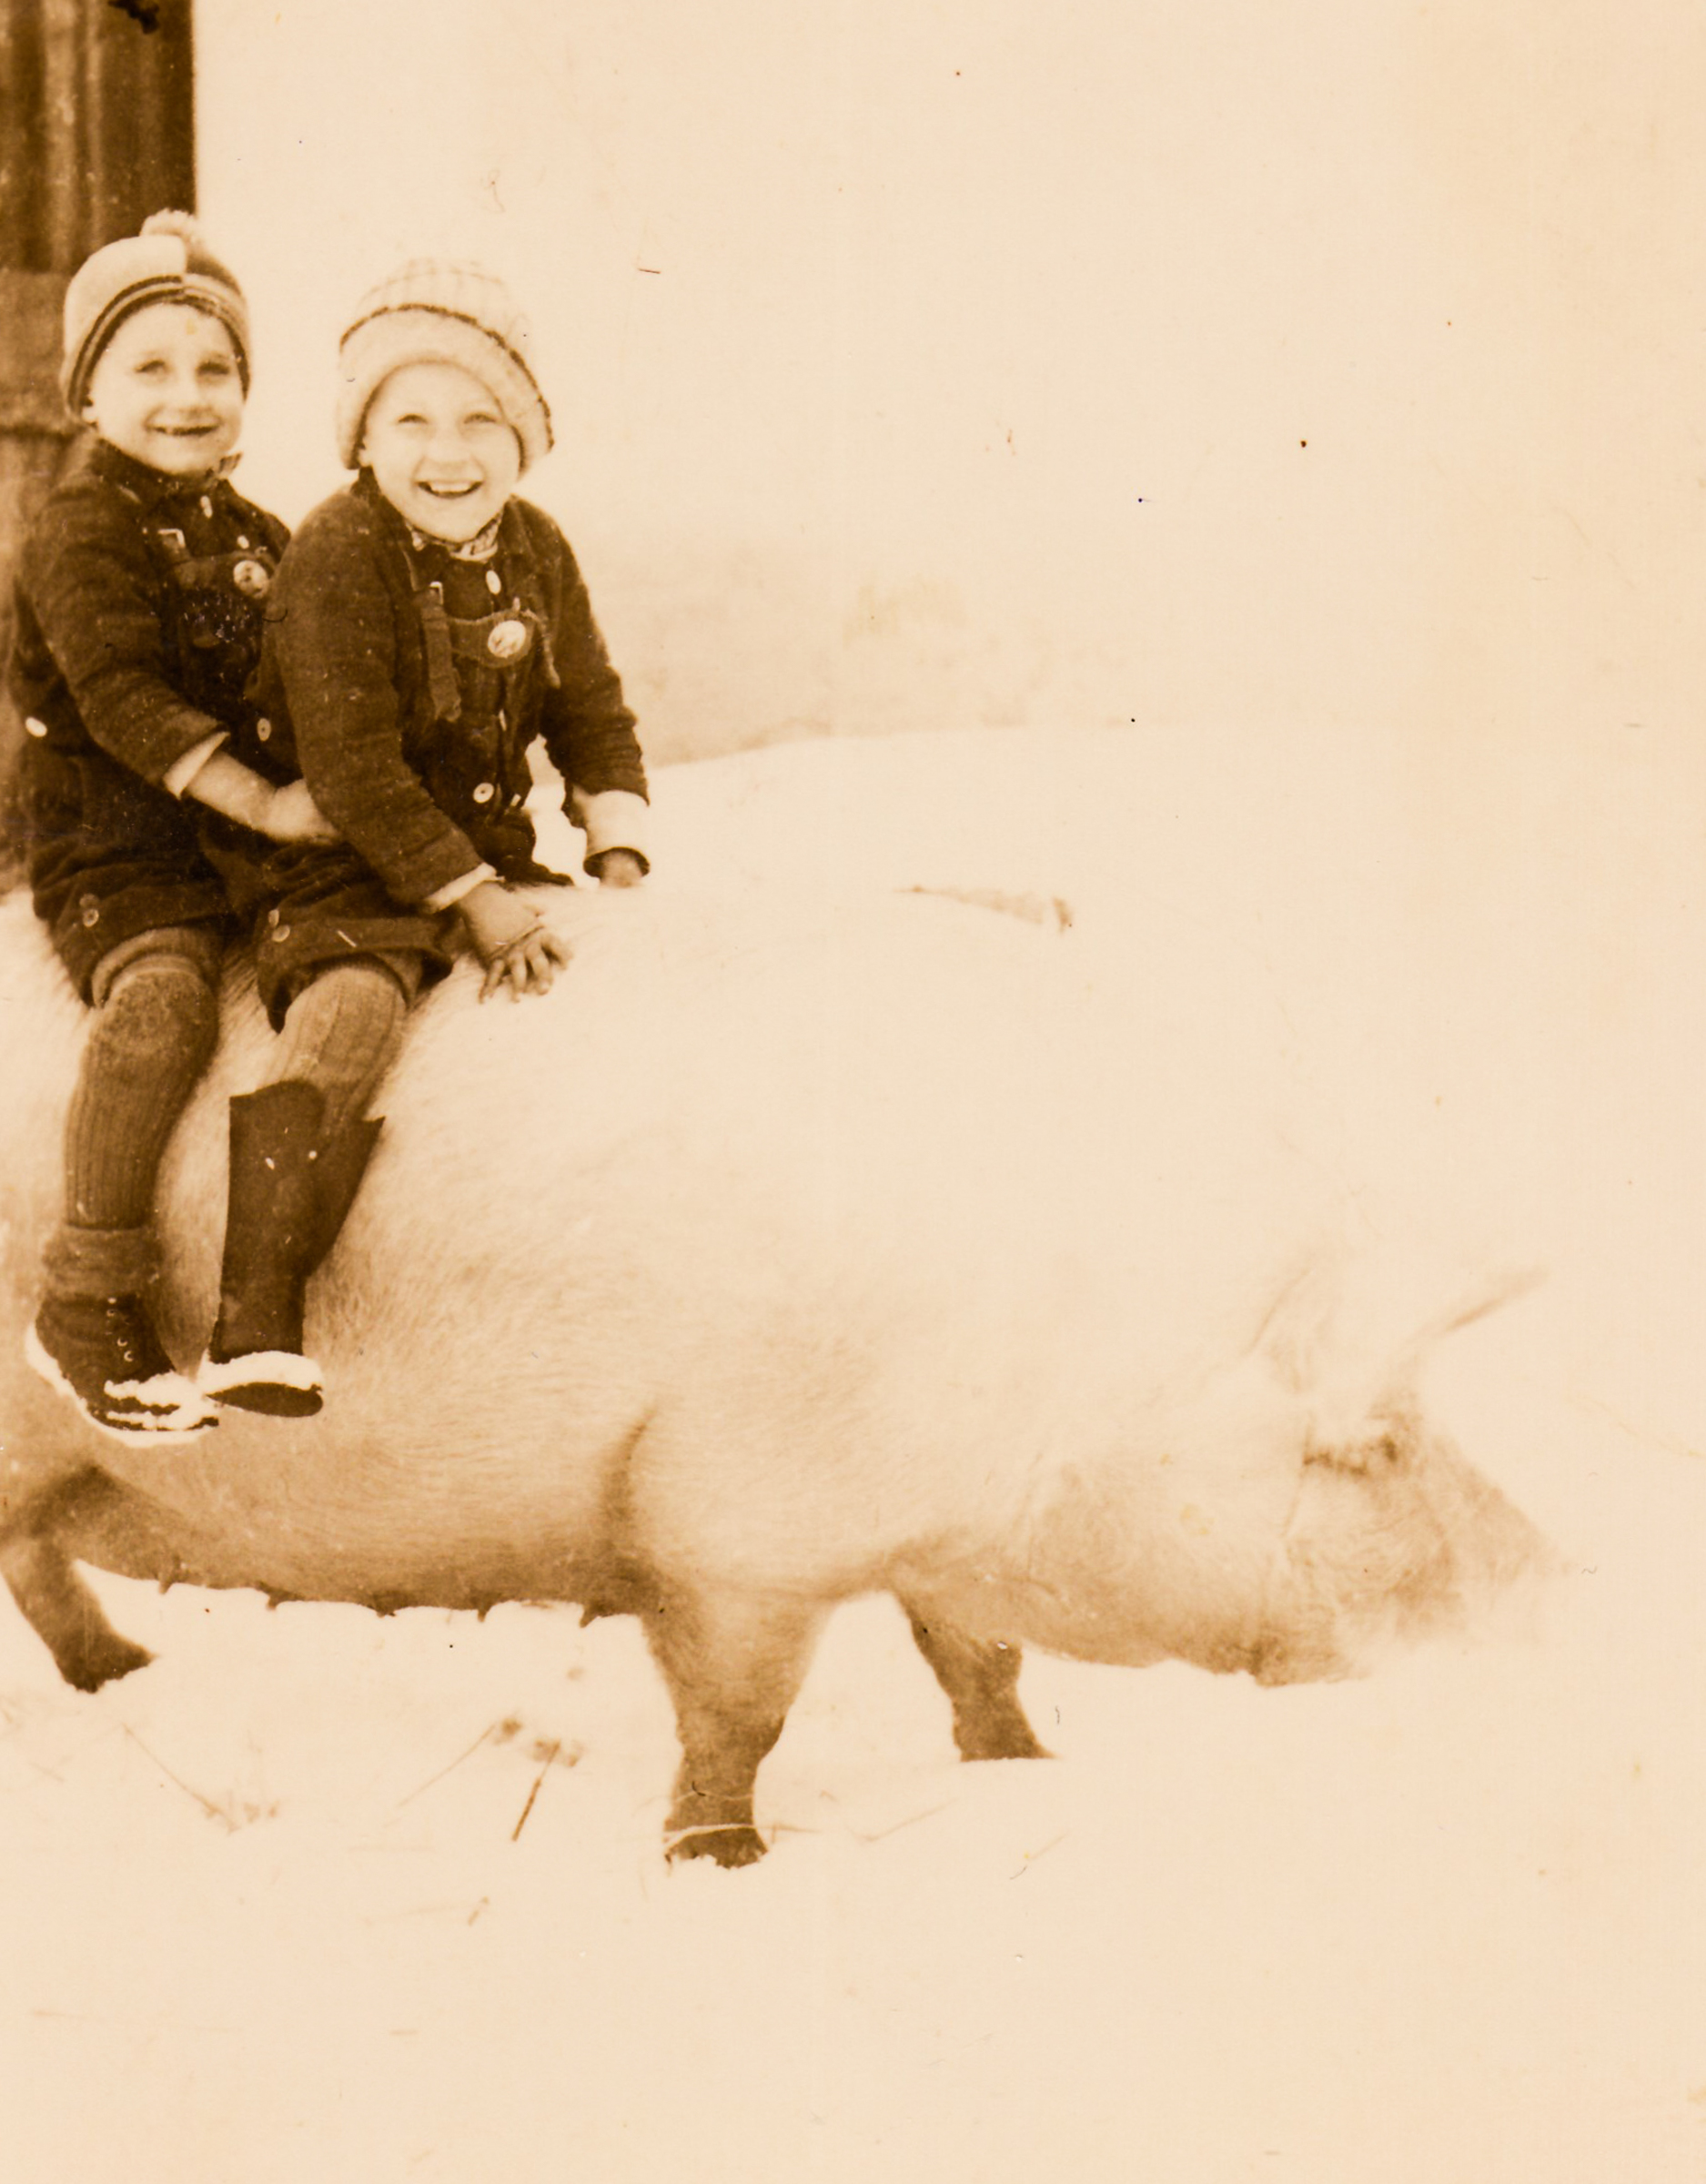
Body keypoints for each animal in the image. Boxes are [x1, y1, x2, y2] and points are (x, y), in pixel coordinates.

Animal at [0, 882, 1549, 1865]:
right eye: (1374, 1445)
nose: (1561, 1585)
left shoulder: (922, 1526)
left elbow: (975, 1657)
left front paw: (1023, 1767)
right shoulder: (724, 1520)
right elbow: (738, 1712)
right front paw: (716, 1859)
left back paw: (126, 1673)